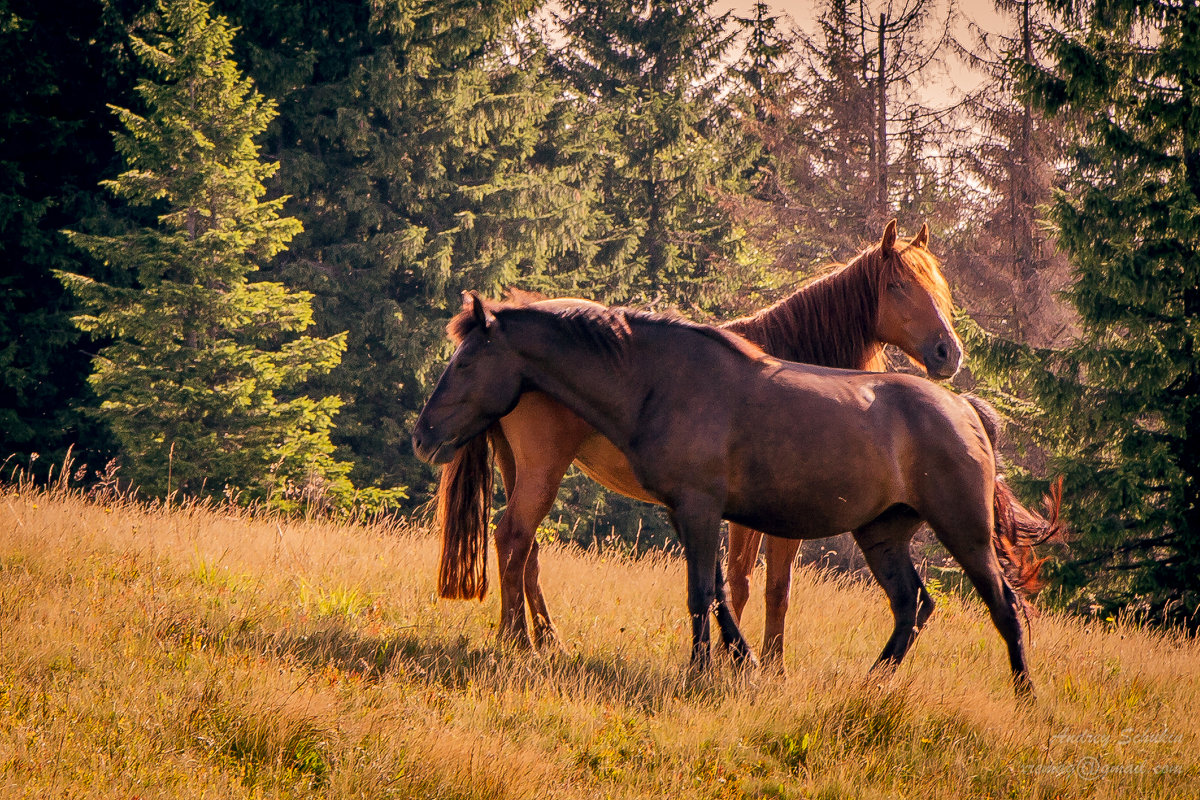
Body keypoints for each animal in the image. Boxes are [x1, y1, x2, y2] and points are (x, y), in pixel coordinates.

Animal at [417, 293, 1065, 695]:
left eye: (467, 360)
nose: (424, 433)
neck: (659, 381)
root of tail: (967, 411)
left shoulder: (702, 509)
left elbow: (705, 593)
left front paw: (705, 669)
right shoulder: (690, 514)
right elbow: (717, 591)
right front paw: (739, 661)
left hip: (965, 532)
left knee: (1004, 608)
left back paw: (1025, 697)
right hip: (883, 533)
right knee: (912, 605)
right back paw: (871, 684)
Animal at [434, 219, 964, 657]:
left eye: (938, 287)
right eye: (897, 286)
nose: (948, 352)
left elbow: (758, 586)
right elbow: (752, 584)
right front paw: (754, 661)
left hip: (518, 468)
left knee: (525, 552)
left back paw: (546, 639)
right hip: (542, 469)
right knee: (515, 539)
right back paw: (521, 640)